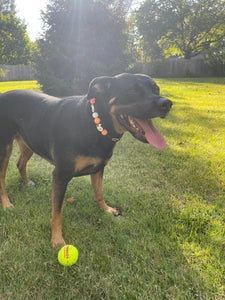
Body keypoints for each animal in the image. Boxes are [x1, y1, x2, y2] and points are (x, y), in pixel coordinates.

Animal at [0, 73, 172, 246]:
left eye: (156, 89)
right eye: (132, 90)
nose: (167, 104)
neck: (95, 125)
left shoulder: (98, 168)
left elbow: (99, 193)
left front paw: (106, 209)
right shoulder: (60, 175)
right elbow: (57, 212)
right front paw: (57, 239)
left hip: (29, 142)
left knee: (20, 163)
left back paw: (27, 182)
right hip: (5, 149)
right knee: (2, 178)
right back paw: (7, 204)